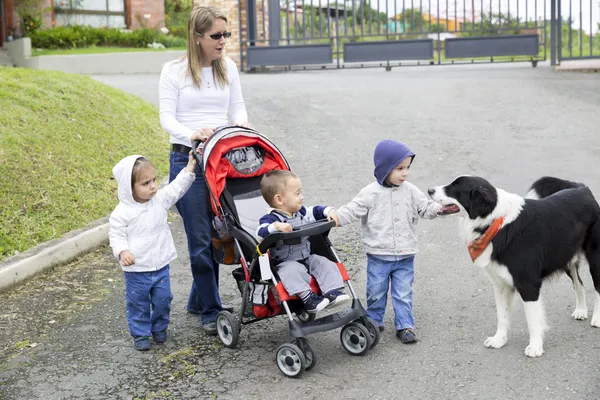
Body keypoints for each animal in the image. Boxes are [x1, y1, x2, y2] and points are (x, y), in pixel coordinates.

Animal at [426, 177, 600, 358]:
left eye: (454, 187)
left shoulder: (528, 284)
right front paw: (499, 340)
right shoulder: (500, 284)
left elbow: (532, 319)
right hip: (567, 258)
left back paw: (597, 318)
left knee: (597, 287)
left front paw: (535, 347)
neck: (496, 223)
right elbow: (502, 315)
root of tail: (581, 188)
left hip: (595, 257)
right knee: (579, 283)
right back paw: (581, 310)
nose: (429, 190)